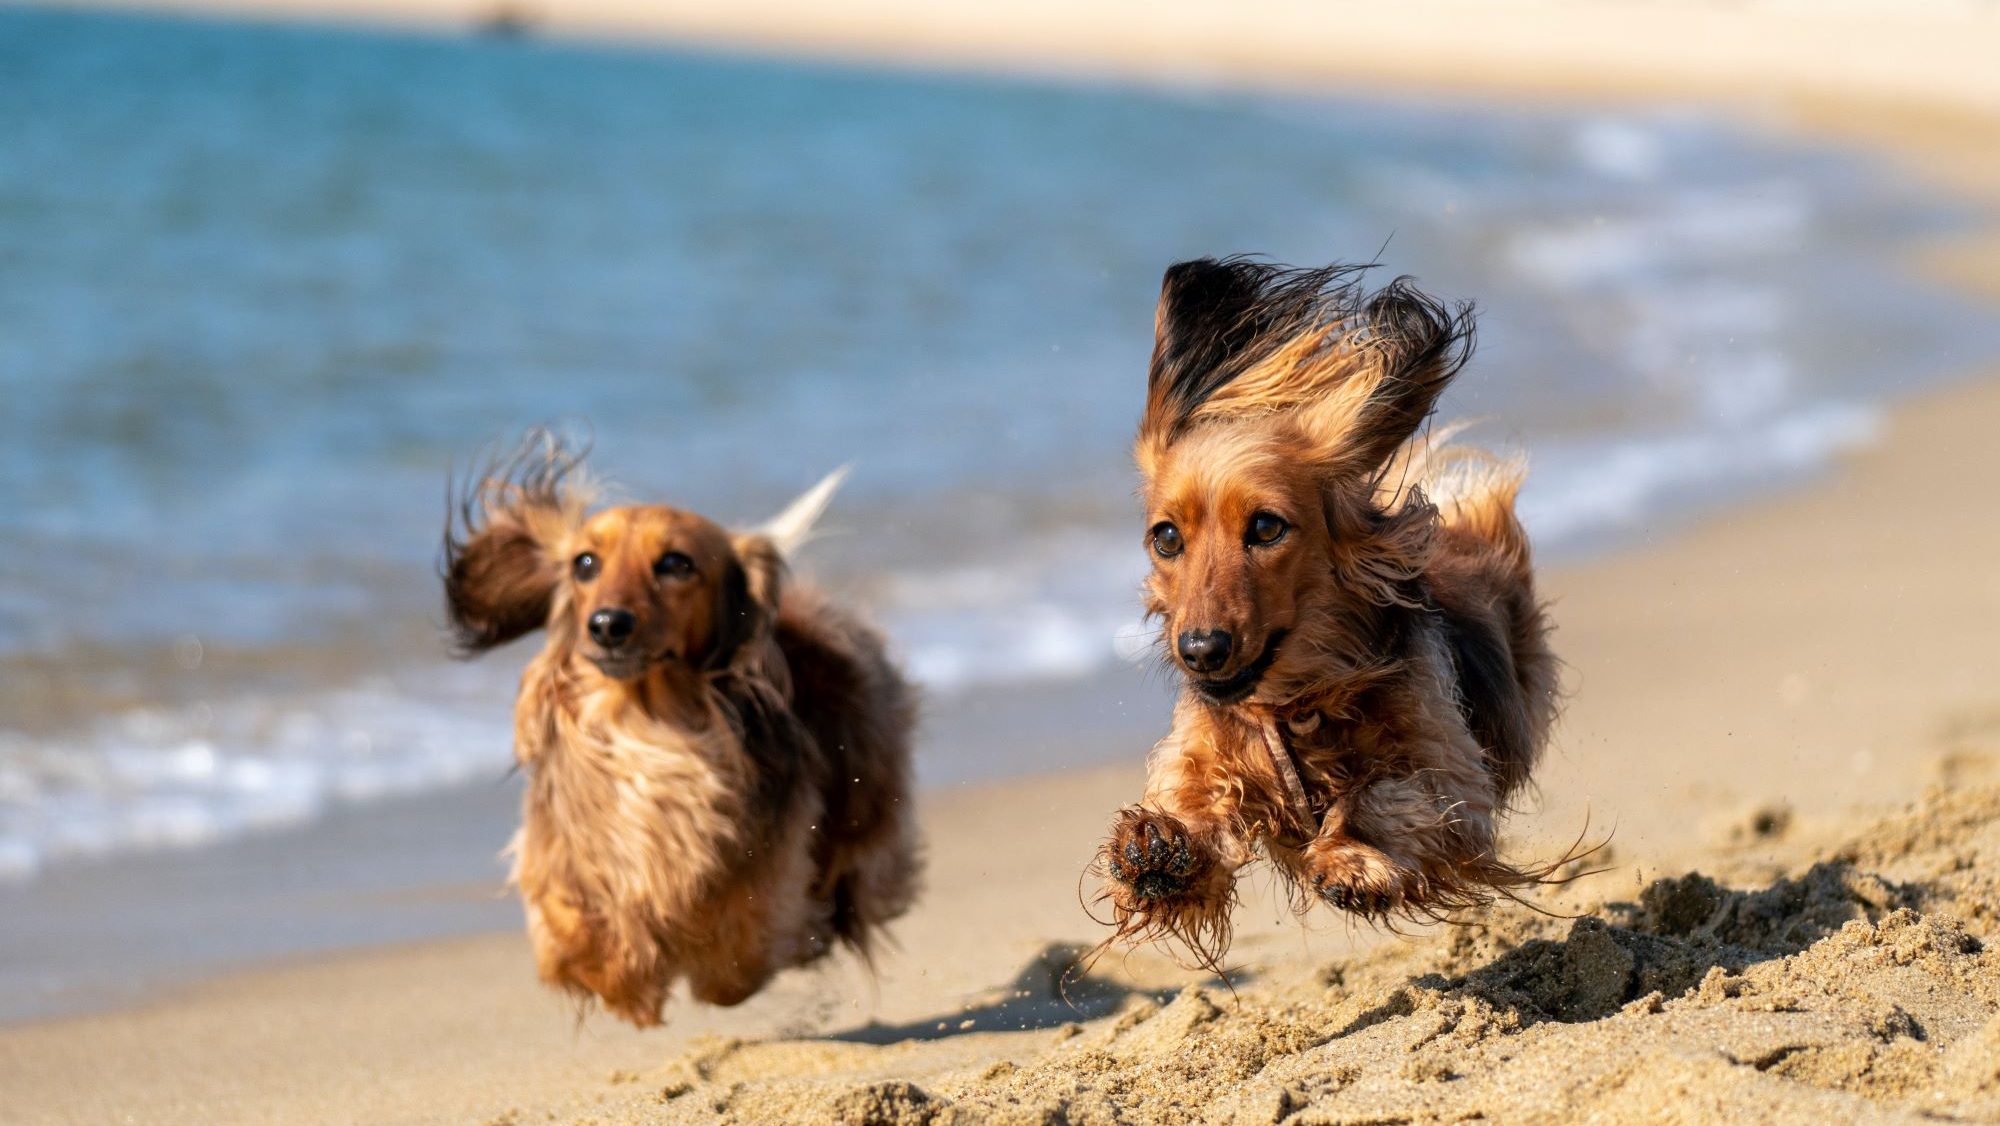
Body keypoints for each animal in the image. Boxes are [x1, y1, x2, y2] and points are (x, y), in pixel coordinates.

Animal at [442, 434, 916, 1032]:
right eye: (585, 563)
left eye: (674, 563)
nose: (607, 625)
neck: (647, 723)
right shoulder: (563, 853)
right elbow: (571, 926)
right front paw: (627, 981)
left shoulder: (767, 867)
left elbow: (735, 951)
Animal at [1096, 258, 1560, 968]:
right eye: (1166, 537)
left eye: (1266, 527)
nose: (1200, 650)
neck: (1298, 704)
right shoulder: (1205, 750)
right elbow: (1192, 798)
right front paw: (1158, 848)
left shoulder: (1452, 779)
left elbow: (1384, 793)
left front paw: (1352, 861)